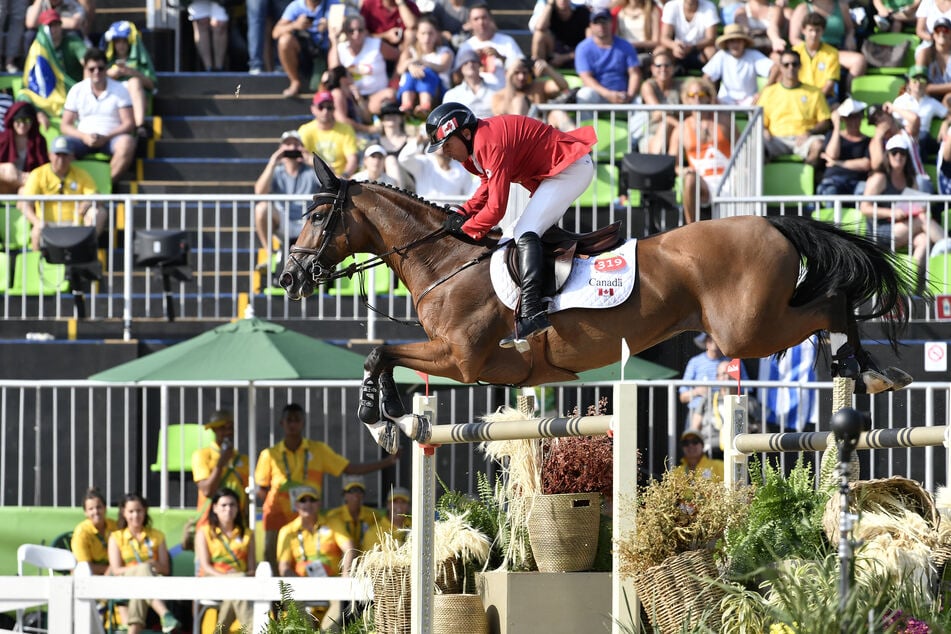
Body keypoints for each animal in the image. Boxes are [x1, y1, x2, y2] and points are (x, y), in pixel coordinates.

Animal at [280, 156, 916, 452]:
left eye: (316, 215)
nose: (288, 276)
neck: (446, 263)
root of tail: (770, 220)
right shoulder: (487, 365)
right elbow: (384, 355)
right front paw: (390, 415)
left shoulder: (464, 358)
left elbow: (381, 352)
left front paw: (377, 416)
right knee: (830, 307)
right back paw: (865, 369)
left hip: (744, 331)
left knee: (832, 304)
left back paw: (868, 368)